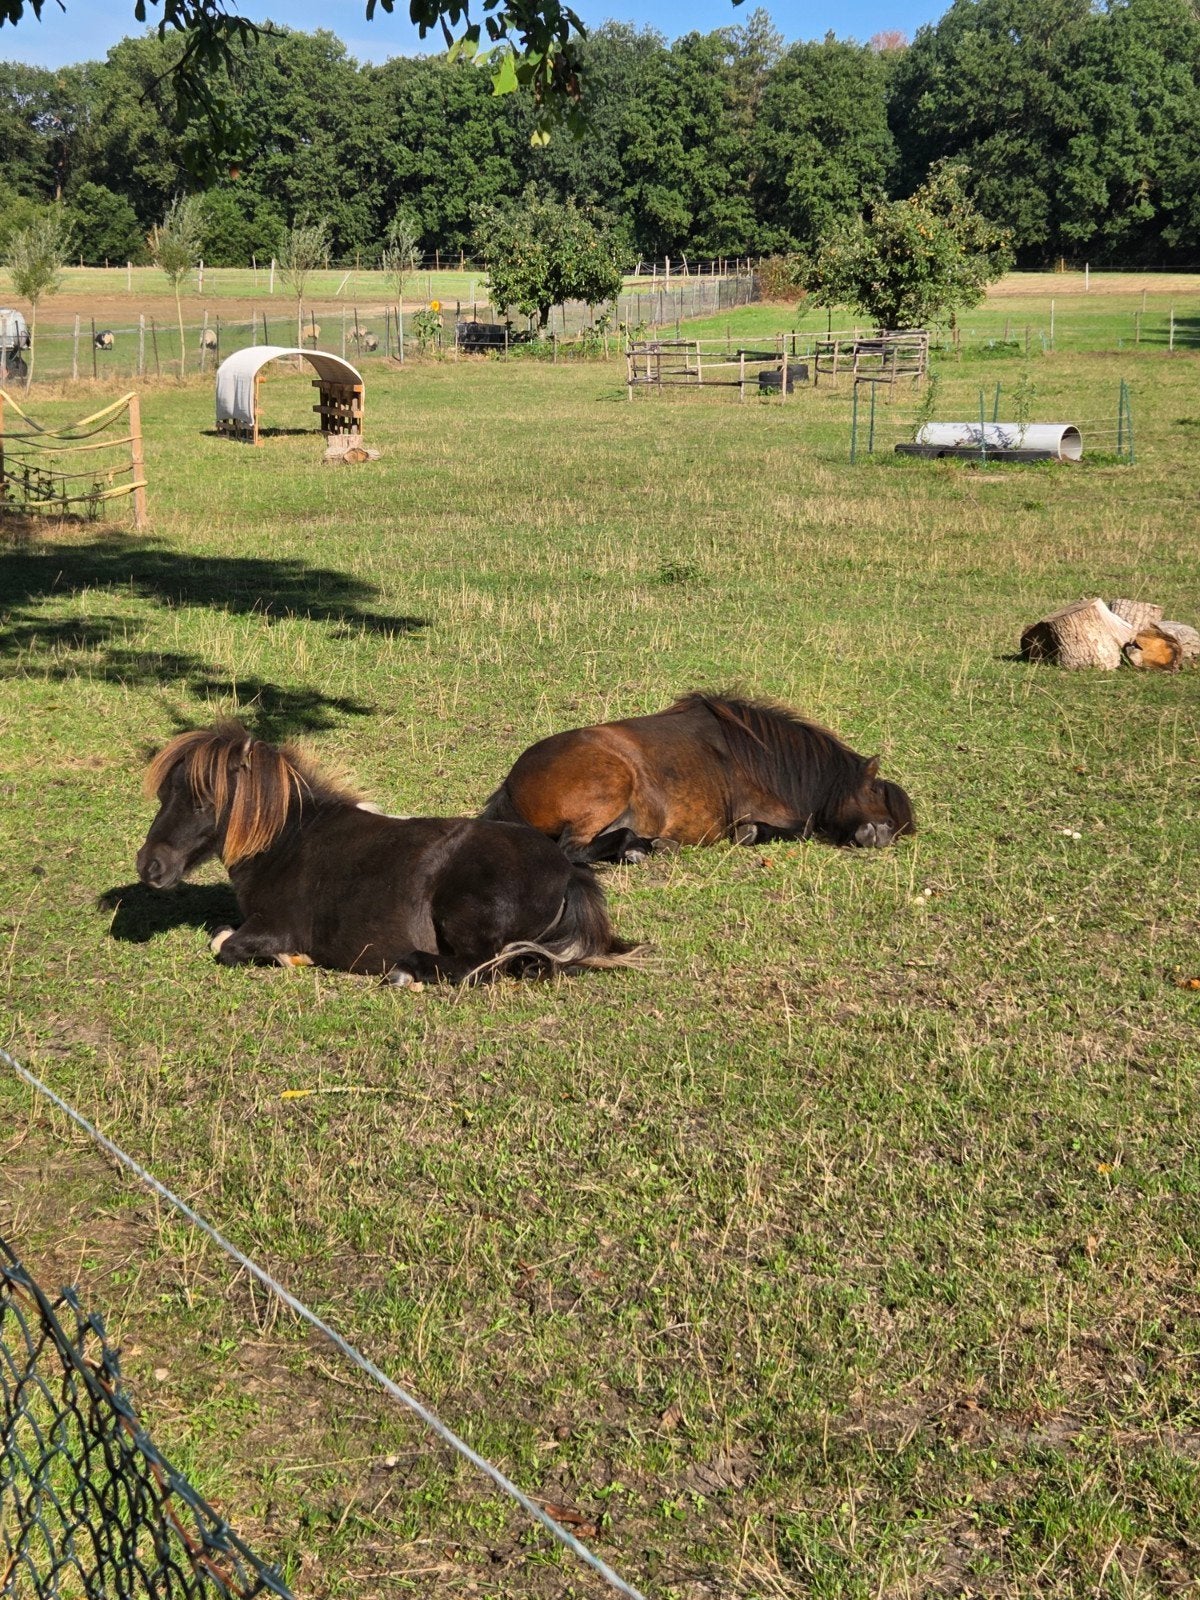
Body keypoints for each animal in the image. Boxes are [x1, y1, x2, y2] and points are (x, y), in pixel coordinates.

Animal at [136, 723, 635, 984]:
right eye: (164, 794)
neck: (287, 844)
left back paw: (405, 970)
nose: (149, 866)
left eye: (202, 800)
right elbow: (220, 933)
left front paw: (293, 959)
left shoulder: (277, 928)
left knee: (476, 968)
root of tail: (568, 871)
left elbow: (226, 944)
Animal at [482, 692, 915, 864]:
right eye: (876, 793)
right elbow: (803, 826)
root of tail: (509, 787)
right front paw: (750, 834)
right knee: (572, 850)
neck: (758, 755)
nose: (883, 835)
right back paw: (640, 847)